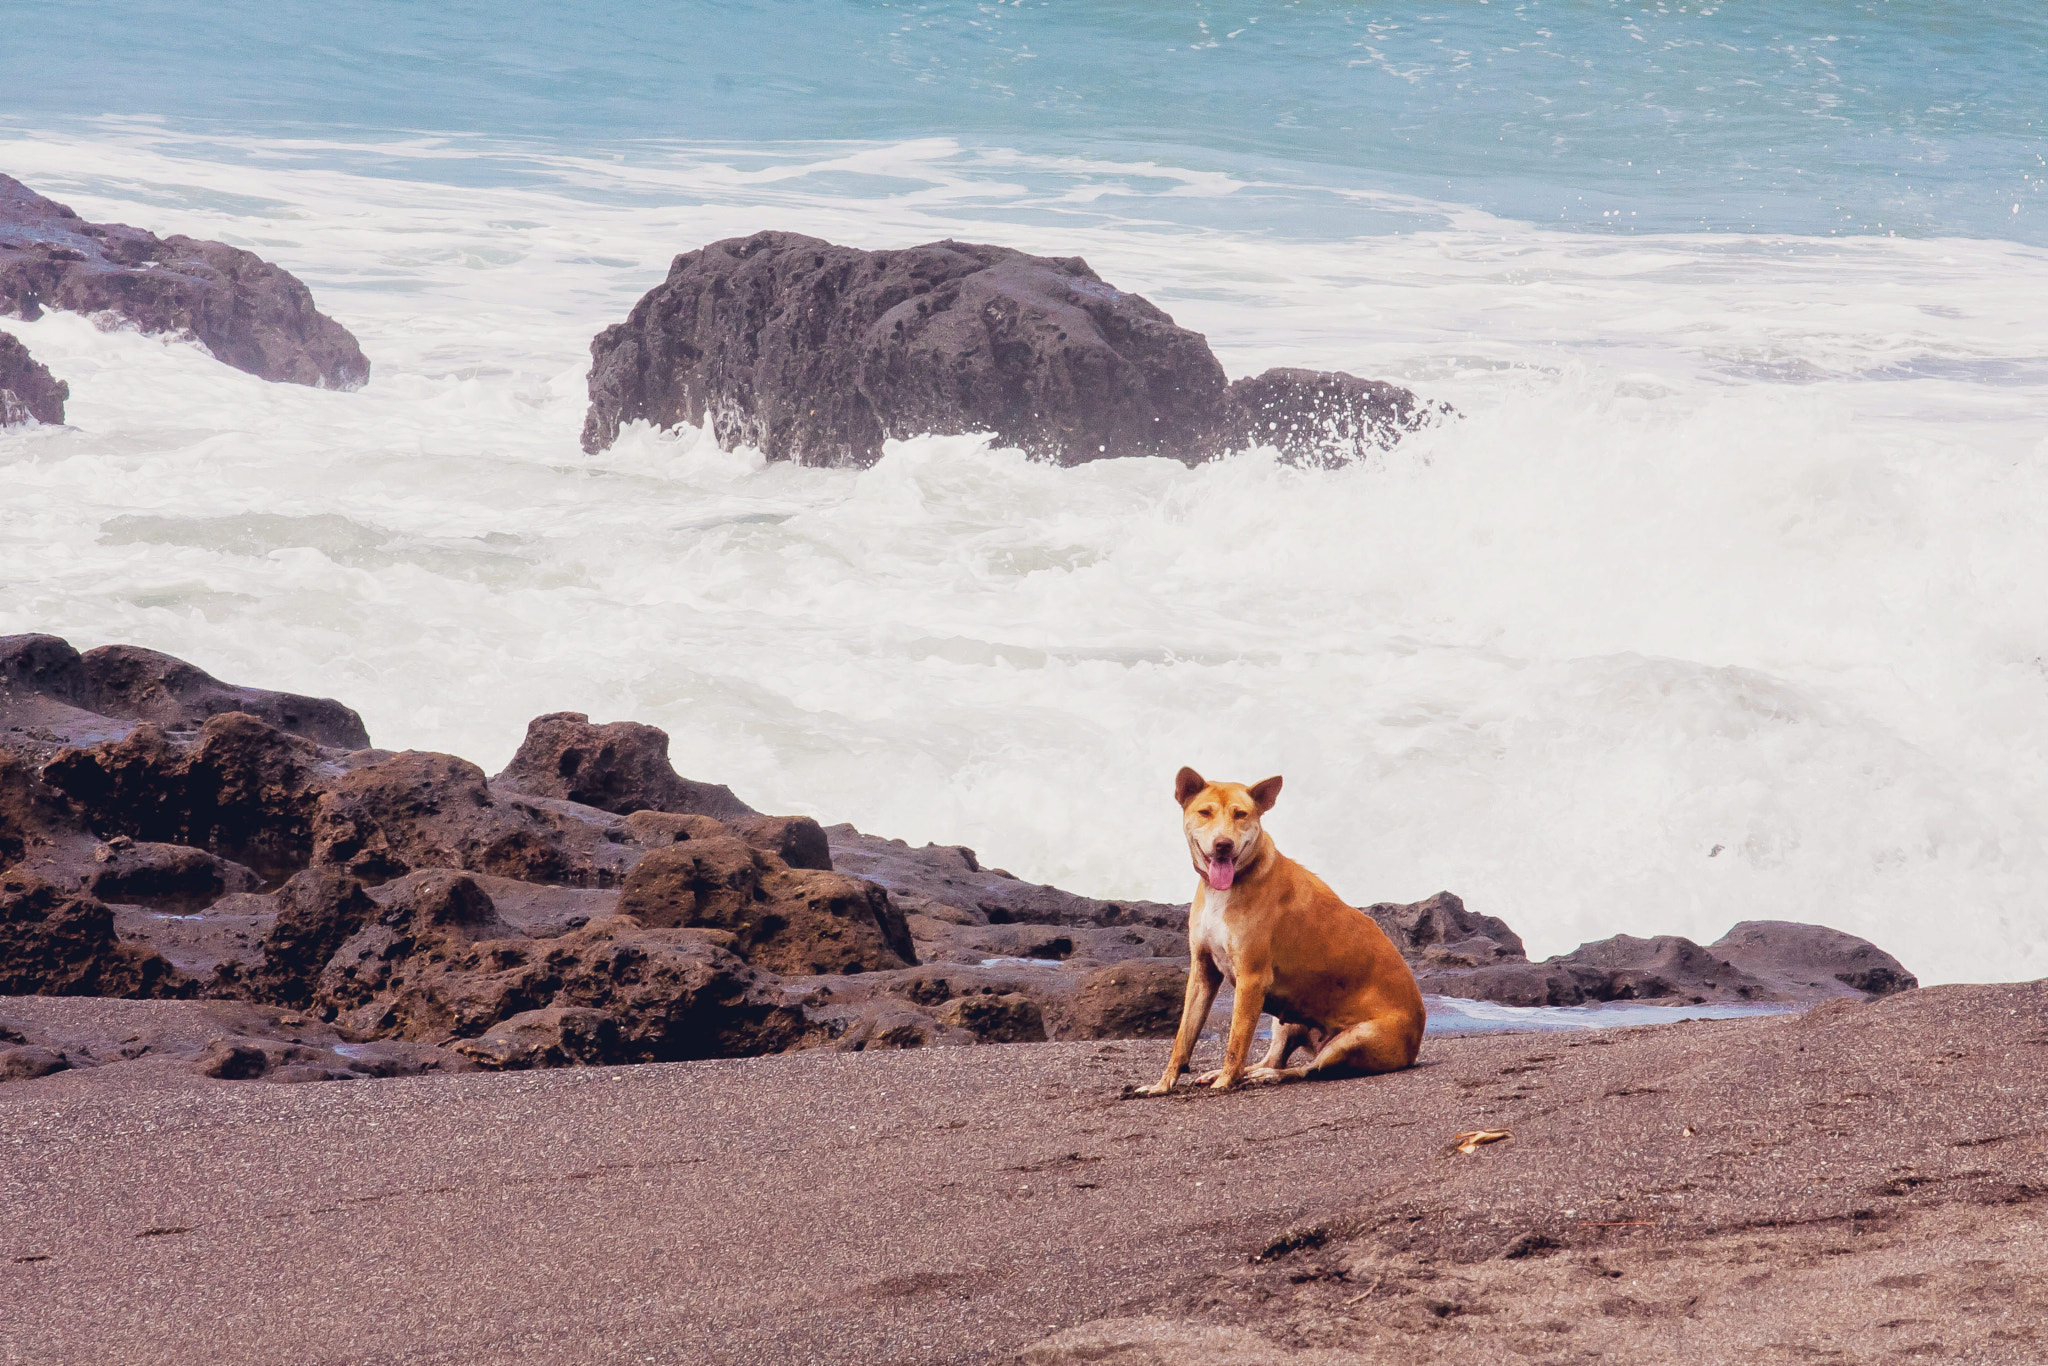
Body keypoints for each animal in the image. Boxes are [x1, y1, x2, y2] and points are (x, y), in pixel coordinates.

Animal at [1130, 770, 1417, 1097]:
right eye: (1205, 812)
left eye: (1240, 814)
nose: (1223, 844)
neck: (1228, 886)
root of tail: (1417, 1040)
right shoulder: (1203, 973)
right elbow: (1183, 1039)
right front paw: (1163, 1084)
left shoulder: (1252, 979)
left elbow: (1236, 1042)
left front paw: (1225, 1082)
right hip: (1286, 1018)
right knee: (1273, 1058)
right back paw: (1246, 1072)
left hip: (1354, 1040)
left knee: (1305, 1069)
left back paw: (1262, 1077)